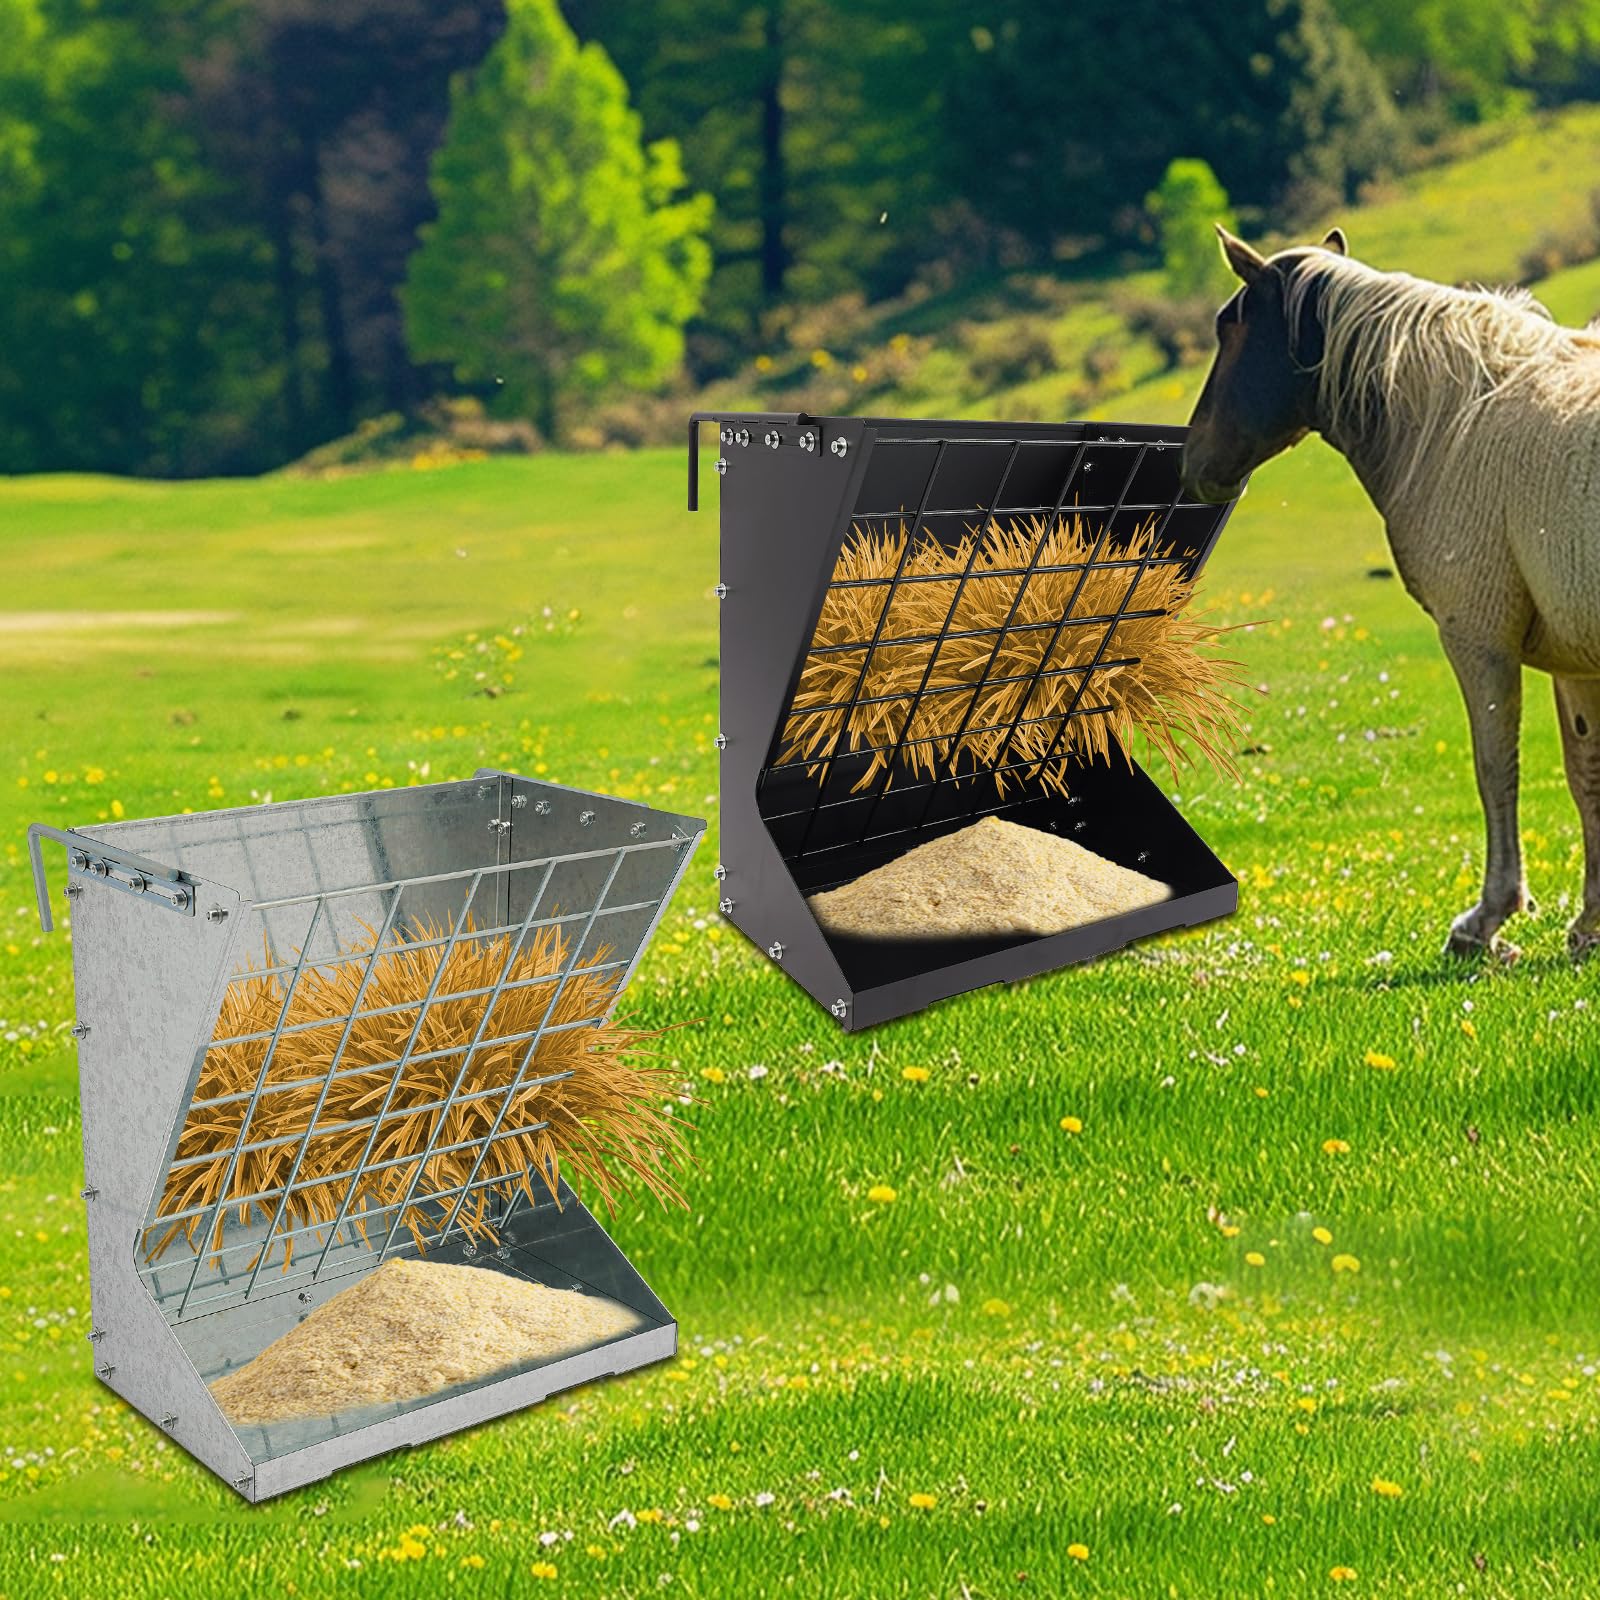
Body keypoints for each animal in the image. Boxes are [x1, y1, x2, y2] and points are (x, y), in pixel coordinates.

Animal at [1180, 225, 1600, 961]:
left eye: (1229, 329)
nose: (1193, 462)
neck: (1462, 420)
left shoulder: (1478, 639)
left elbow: (1496, 769)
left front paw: (1488, 920)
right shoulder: (1574, 662)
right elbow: (1587, 779)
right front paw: (1589, 925)